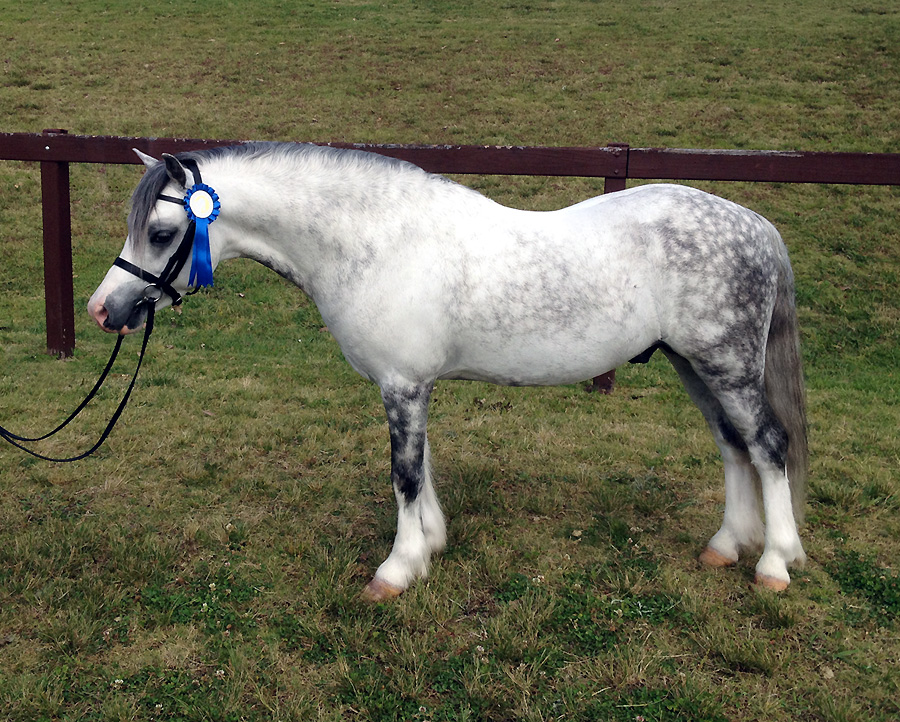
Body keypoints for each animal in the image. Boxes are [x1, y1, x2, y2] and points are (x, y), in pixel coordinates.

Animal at [88, 142, 808, 599]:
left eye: (160, 232)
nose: (103, 309)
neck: (379, 240)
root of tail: (756, 224)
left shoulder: (403, 385)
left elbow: (404, 473)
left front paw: (397, 570)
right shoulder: (412, 384)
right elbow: (424, 465)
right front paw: (431, 544)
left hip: (726, 367)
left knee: (768, 446)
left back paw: (774, 563)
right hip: (696, 367)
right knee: (734, 447)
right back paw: (726, 545)